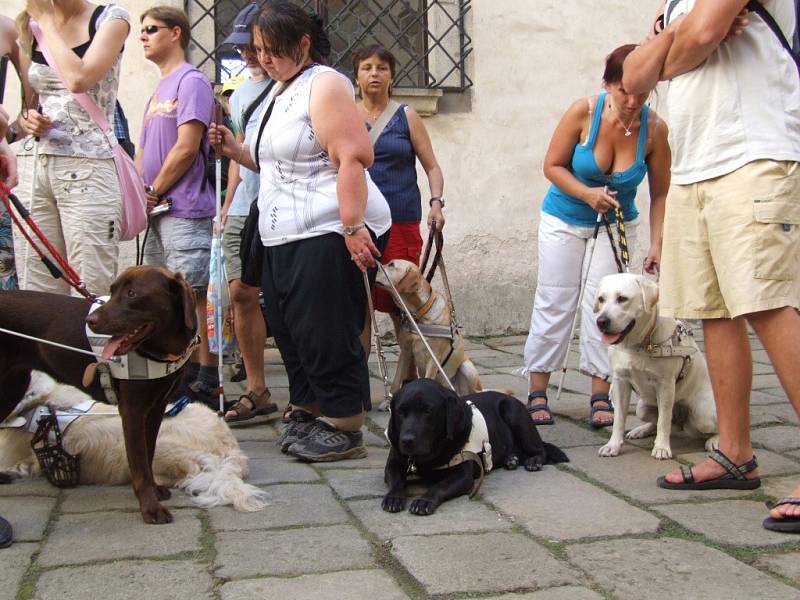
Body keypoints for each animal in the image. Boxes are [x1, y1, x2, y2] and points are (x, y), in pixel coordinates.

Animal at [376, 258, 482, 396]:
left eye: (391, 265)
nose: (374, 266)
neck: (420, 314)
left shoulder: (433, 358)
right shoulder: (405, 352)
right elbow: (396, 382)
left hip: (467, 368)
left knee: (476, 391)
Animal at [592, 274, 720, 460]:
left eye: (622, 298)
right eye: (601, 299)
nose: (601, 321)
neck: (638, 344)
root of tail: (681, 421)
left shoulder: (665, 385)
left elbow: (663, 421)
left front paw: (661, 448)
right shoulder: (620, 381)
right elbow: (619, 419)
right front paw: (613, 445)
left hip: (703, 414)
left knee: (709, 426)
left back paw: (715, 441)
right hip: (642, 408)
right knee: (657, 421)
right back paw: (641, 430)